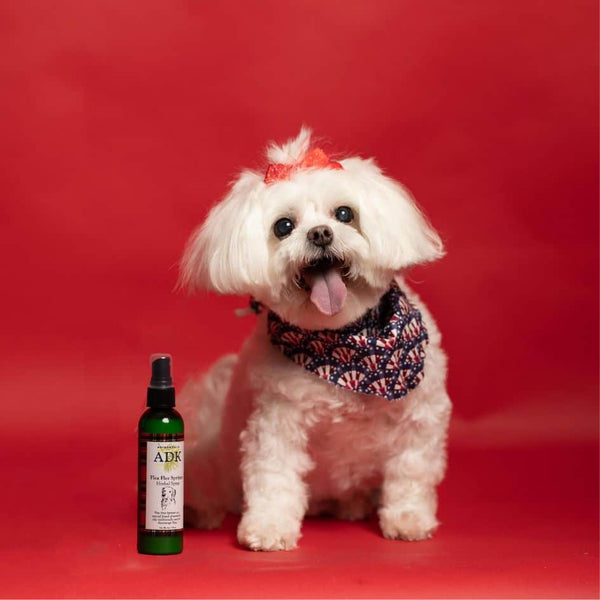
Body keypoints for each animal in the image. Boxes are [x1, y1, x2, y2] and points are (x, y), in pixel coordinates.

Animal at [180, 129, 452, 552]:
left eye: (344, 214)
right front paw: (270, 526)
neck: (344, 347)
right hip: (208, 468)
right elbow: (274, 477)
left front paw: (408, 520)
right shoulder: (276, 421)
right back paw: (200, 513)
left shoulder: (420, 416)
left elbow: (411, 472)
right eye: (283, 226)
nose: (320, 234)